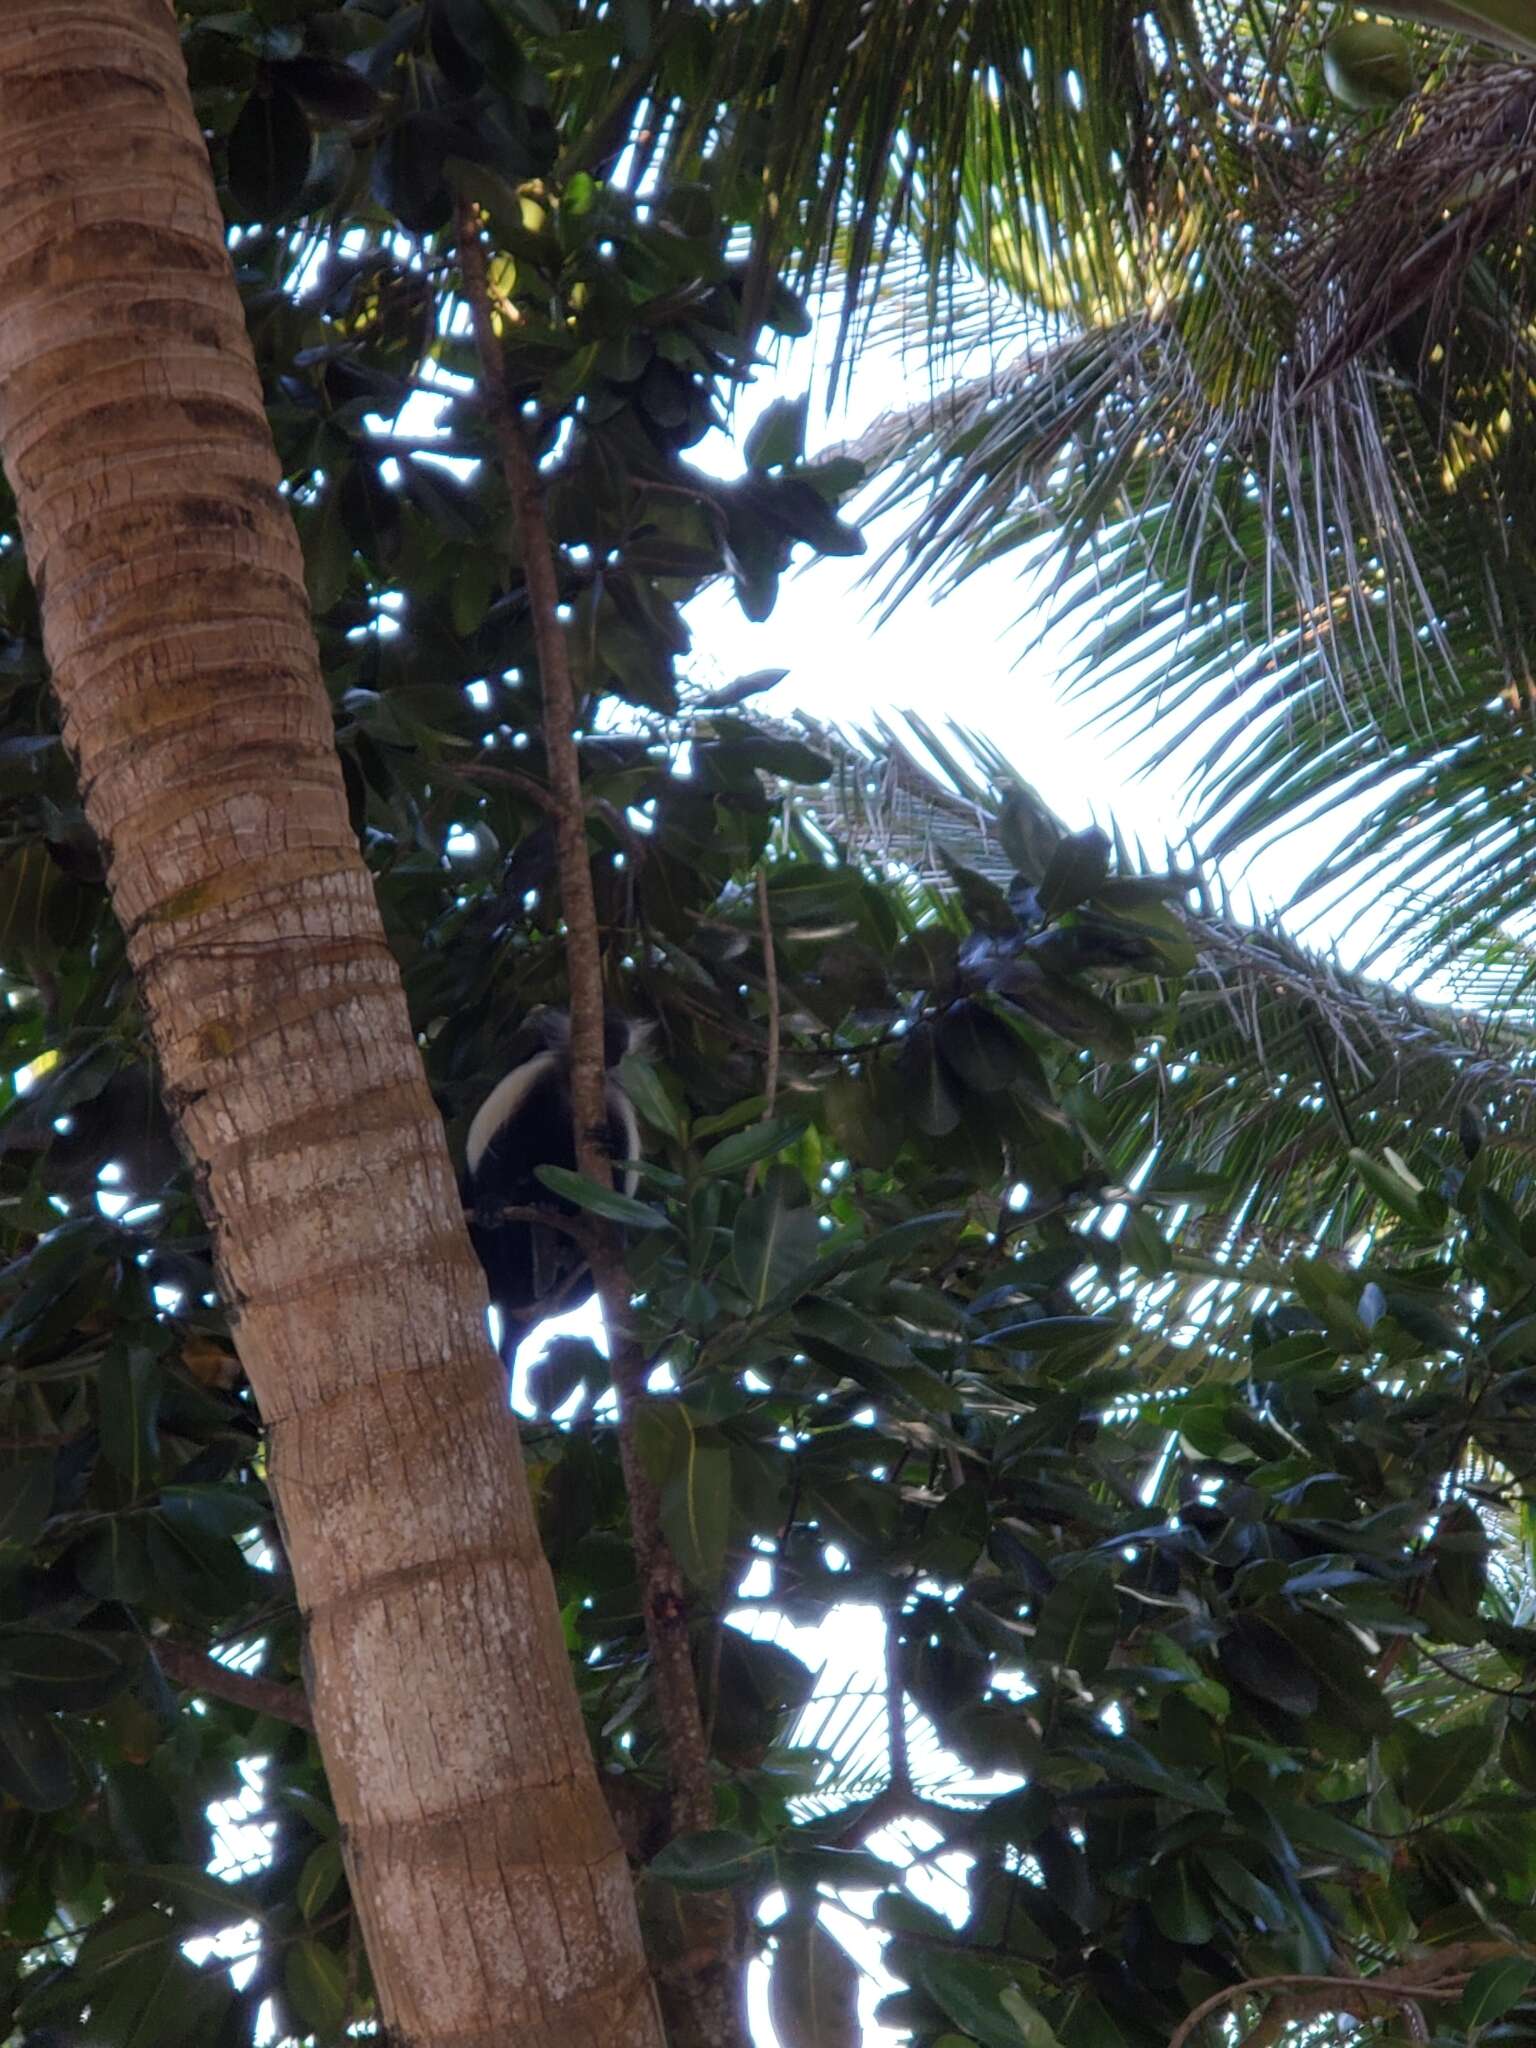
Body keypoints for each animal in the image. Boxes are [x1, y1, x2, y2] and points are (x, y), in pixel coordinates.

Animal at [462, 1007, 643, 1359]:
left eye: (621, 1041)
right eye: (604, 1031)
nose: (617, 1049)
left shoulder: (613, 1104)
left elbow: (617, 1181)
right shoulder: (532, 1081)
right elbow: (497, 1153)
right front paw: (491, 1202)